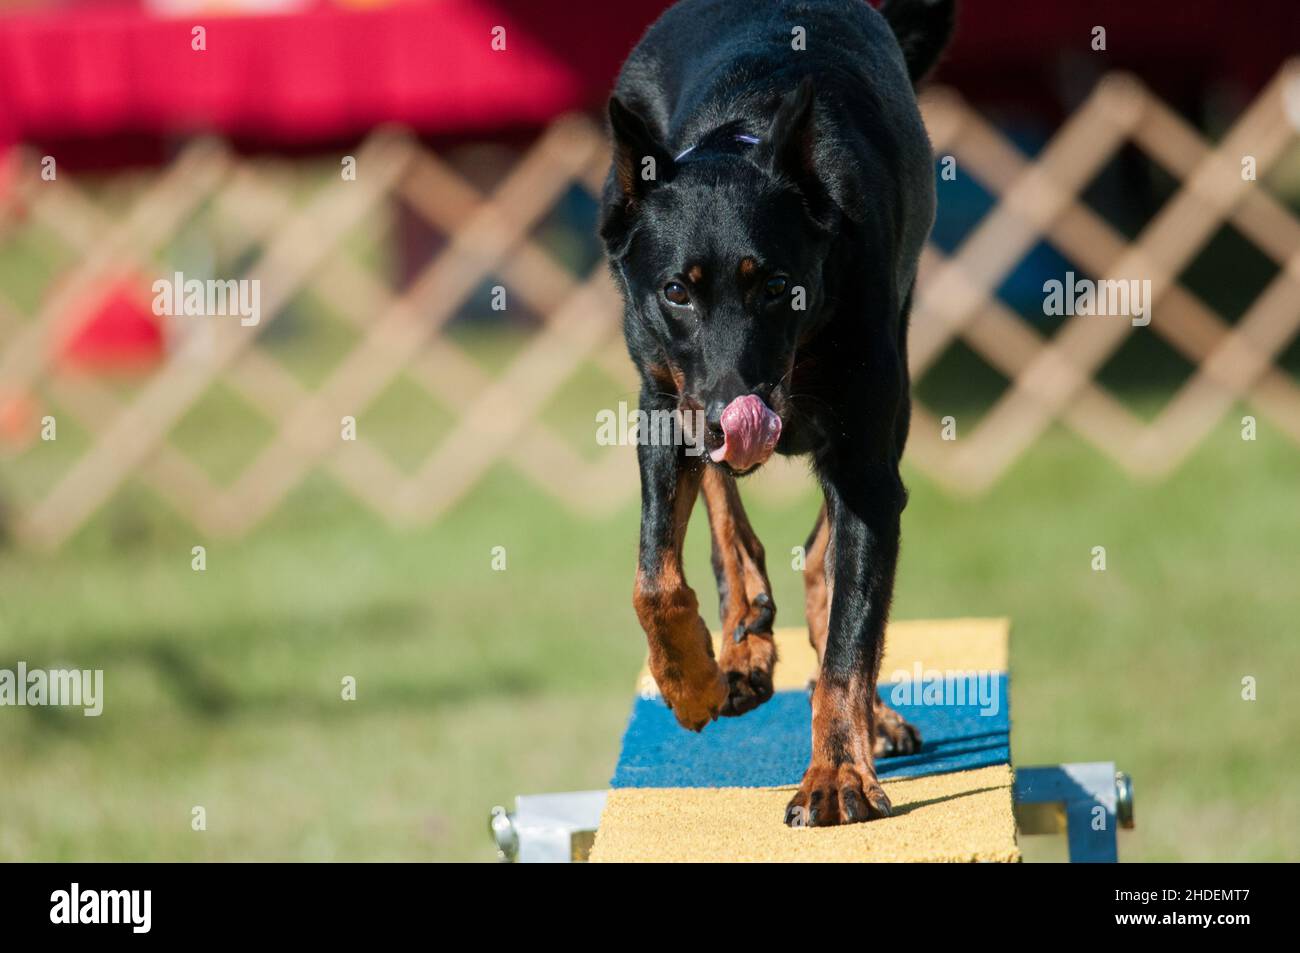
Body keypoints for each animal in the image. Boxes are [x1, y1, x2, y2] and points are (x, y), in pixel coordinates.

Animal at [598, 0, 956, 821]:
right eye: (676, 290)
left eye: (776, 287)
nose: (739, 412)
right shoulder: (664, 405)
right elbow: (654, 580)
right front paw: (690, 682)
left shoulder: (865, 462)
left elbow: (852, 637)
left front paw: (839, 774)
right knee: (727, 519)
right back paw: (741, 641)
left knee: (828, 565)